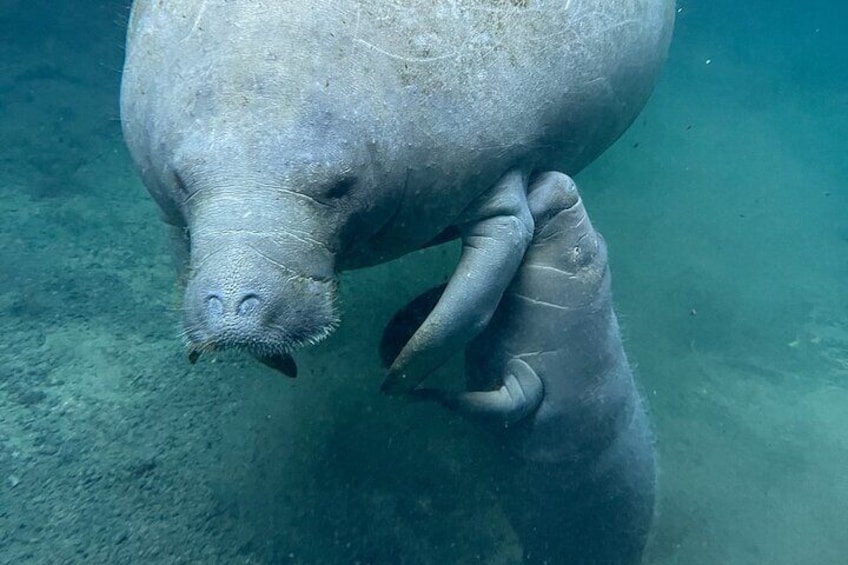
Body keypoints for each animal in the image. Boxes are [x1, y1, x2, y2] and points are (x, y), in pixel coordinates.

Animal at [121, 1, 676, 378]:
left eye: (339, 187)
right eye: (182, 180)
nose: (236, 313)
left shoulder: (499, 186)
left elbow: (464, 310)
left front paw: (399, 372)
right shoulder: (168, 209)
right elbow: (181, 255)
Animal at [384, 173, 656, 564]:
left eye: (579, 253)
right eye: (598, 243)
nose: (564, 182)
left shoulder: (533, 385)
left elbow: (503, 401)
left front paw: (422, 391)